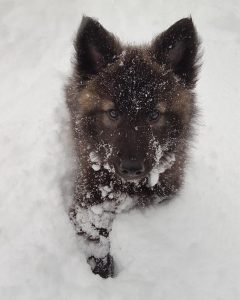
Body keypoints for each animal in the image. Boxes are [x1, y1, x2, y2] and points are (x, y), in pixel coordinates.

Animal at [65, 16, 201, 278]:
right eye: (113, 113)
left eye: (154, 115)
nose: (131, 167)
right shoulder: (87, 199)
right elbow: (95, 234)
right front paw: (102, 268)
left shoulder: (165, 192)